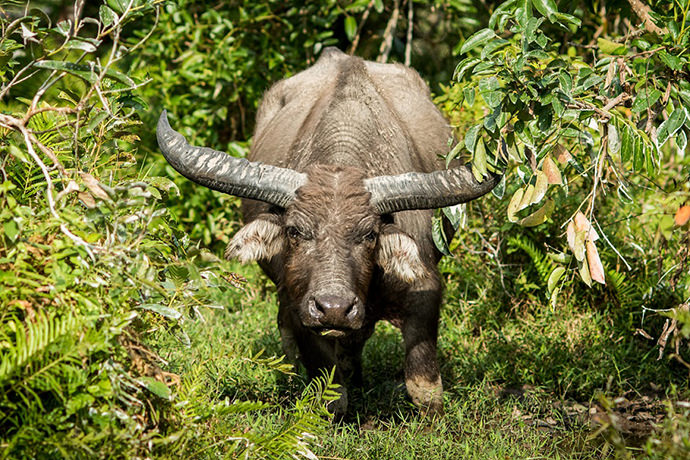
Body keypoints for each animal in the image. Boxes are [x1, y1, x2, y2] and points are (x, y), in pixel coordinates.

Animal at [157, 47, 494, 416]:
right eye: (294, 231)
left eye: (369, 235)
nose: (334, 307)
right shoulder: (298, 306)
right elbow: (330, 391)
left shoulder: (424, 289)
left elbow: (423, 385)